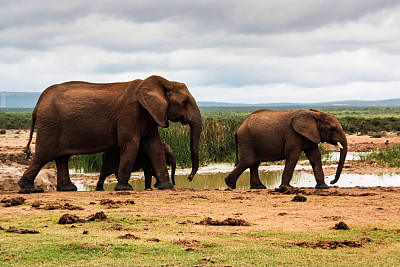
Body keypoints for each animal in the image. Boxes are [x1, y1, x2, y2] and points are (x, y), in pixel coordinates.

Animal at [18, 75, 203, 192]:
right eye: (185, 101)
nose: (189, 178)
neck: (164, 82)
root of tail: (38, 103)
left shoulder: (150, 115)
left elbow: (154, 145)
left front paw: (165, 187)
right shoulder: (130, 113)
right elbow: (131, 144)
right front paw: (124, 188)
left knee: (62, 157)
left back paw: (67, 189)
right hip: (51, 124)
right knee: (44, 155)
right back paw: (25, 186)